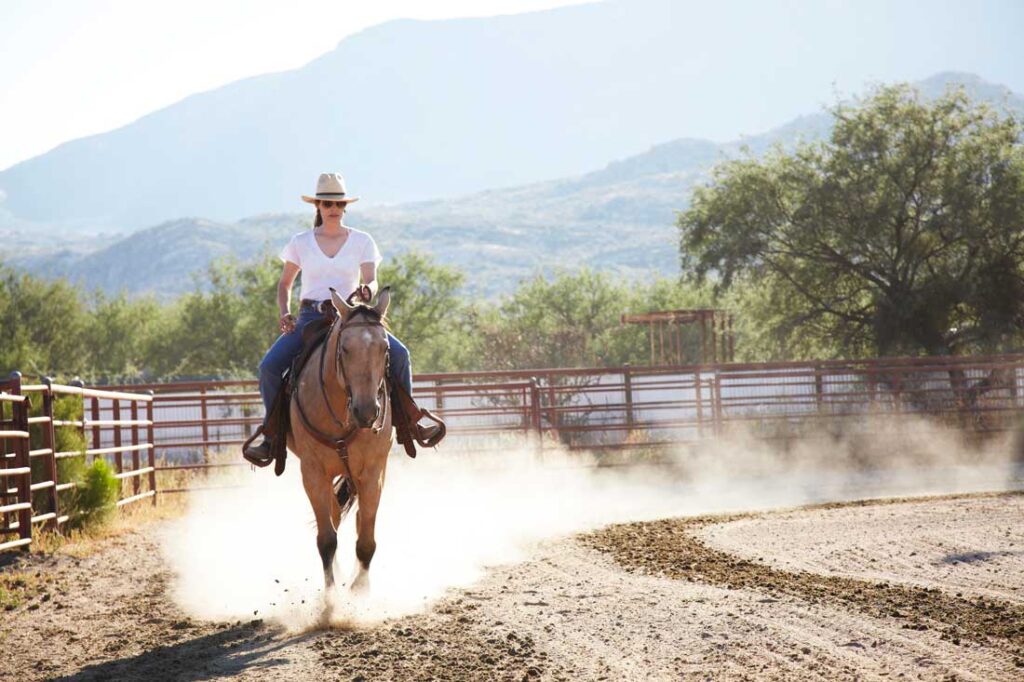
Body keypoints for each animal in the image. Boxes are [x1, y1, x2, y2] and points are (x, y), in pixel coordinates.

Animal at [288, 284, 395, 593]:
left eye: (385, 348)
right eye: (345, 348)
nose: (367, 411)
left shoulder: (372, 471)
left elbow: (366, 539)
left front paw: (359, 591)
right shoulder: (312, 472)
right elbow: (326, 538)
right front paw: (331, 597)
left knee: (357, 520)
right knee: (333, 519)